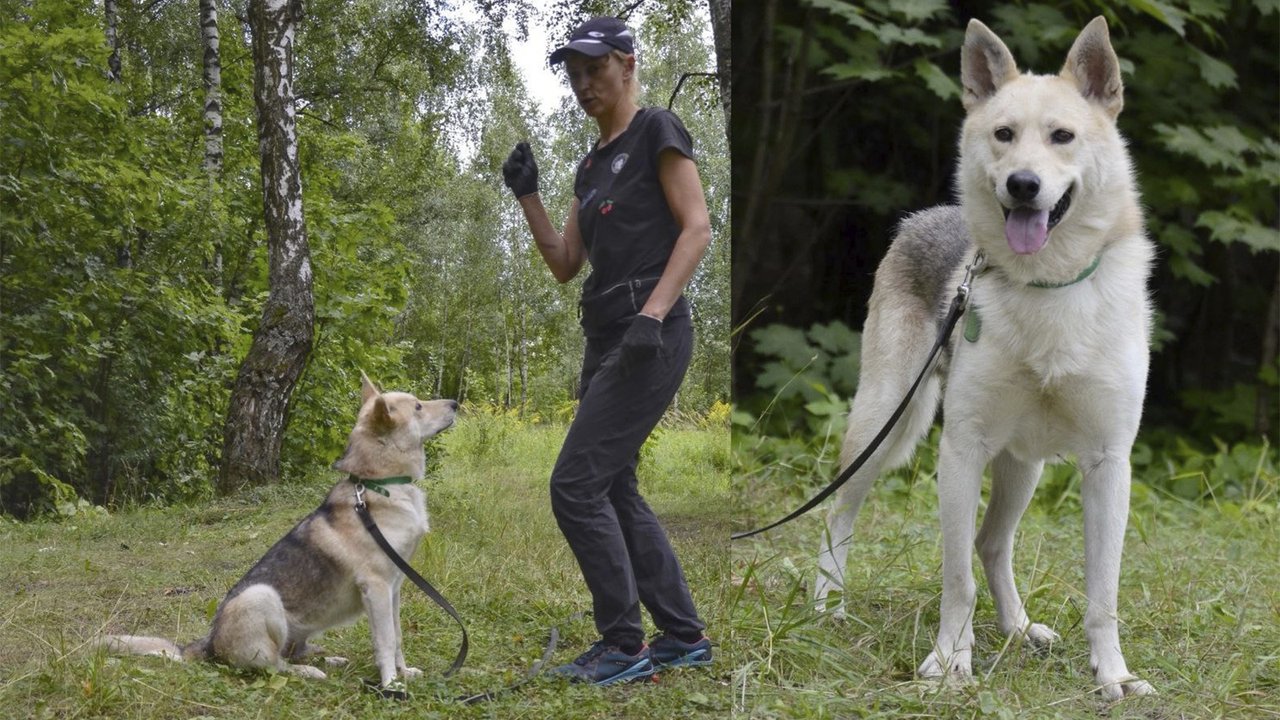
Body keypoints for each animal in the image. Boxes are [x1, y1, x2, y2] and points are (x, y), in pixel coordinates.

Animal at [814, 16, 1157, 696]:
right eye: (1003, 134)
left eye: (1062, 136)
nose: (1022, 184)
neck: (1048, 287)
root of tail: (924, 215)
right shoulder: (961, 450)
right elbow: (956, 582)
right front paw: (950, 662)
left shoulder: (1109, 463)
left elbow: (1102, 595)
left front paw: (1114, 676)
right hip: (888, 422)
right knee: (839, 511)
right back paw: (826, 602)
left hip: (1022, 465)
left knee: (992, 543)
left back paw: (1020, 629)